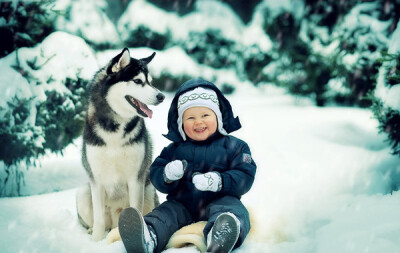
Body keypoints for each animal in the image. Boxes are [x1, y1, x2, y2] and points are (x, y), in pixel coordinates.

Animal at [76, 48, 163, 241]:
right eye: (138, 81)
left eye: (151, 82)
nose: (161, 96)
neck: (114, 128)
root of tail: (116, 220)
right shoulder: (96, 179)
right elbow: (99, 218)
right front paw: (96, 241)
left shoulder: (136, 178)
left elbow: (136, 209)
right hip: (83, 193)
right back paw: (92, 230)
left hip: (148, 189)